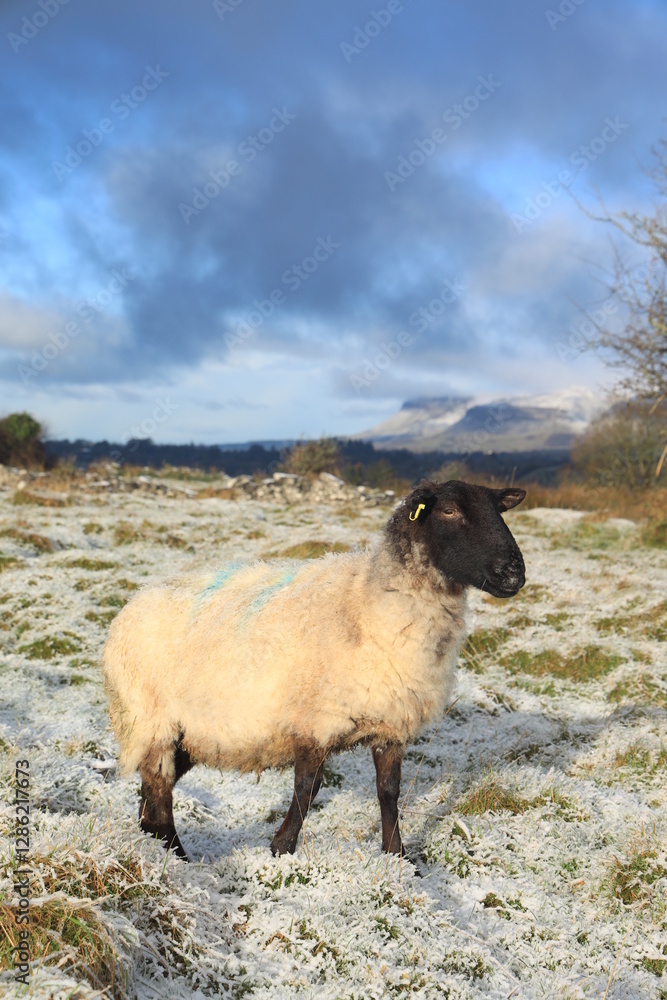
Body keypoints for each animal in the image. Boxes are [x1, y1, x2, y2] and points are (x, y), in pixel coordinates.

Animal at [102, 479, 526, 862]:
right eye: (449, 510)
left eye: (499, 510)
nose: (514, 574)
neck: (368, 606)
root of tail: (129, 607)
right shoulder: (312, 721)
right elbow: (307, 788)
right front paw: (281, 849)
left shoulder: (390, 723)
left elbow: (388, 792)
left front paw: (398, 857)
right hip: (151, 722)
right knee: (159, 790)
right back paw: (176, 854)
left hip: (186, 735)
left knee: (154, 791)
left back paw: (157, 843)